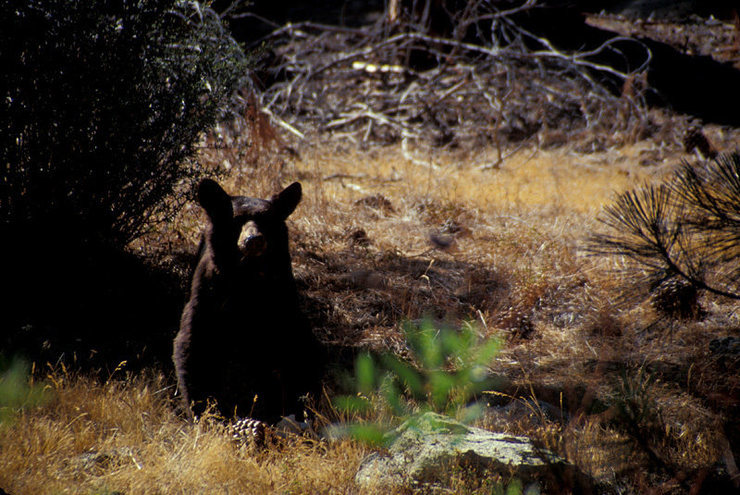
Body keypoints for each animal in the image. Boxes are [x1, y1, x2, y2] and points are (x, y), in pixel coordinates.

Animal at [175, 180, 326, 424]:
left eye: (267, 220)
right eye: (236, 219)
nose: (254, 240)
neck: (248, 279)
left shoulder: (282, 298)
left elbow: (298, 350)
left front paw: (300, 410)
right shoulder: (208, 295)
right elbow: (193, 344)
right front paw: (207, 415)